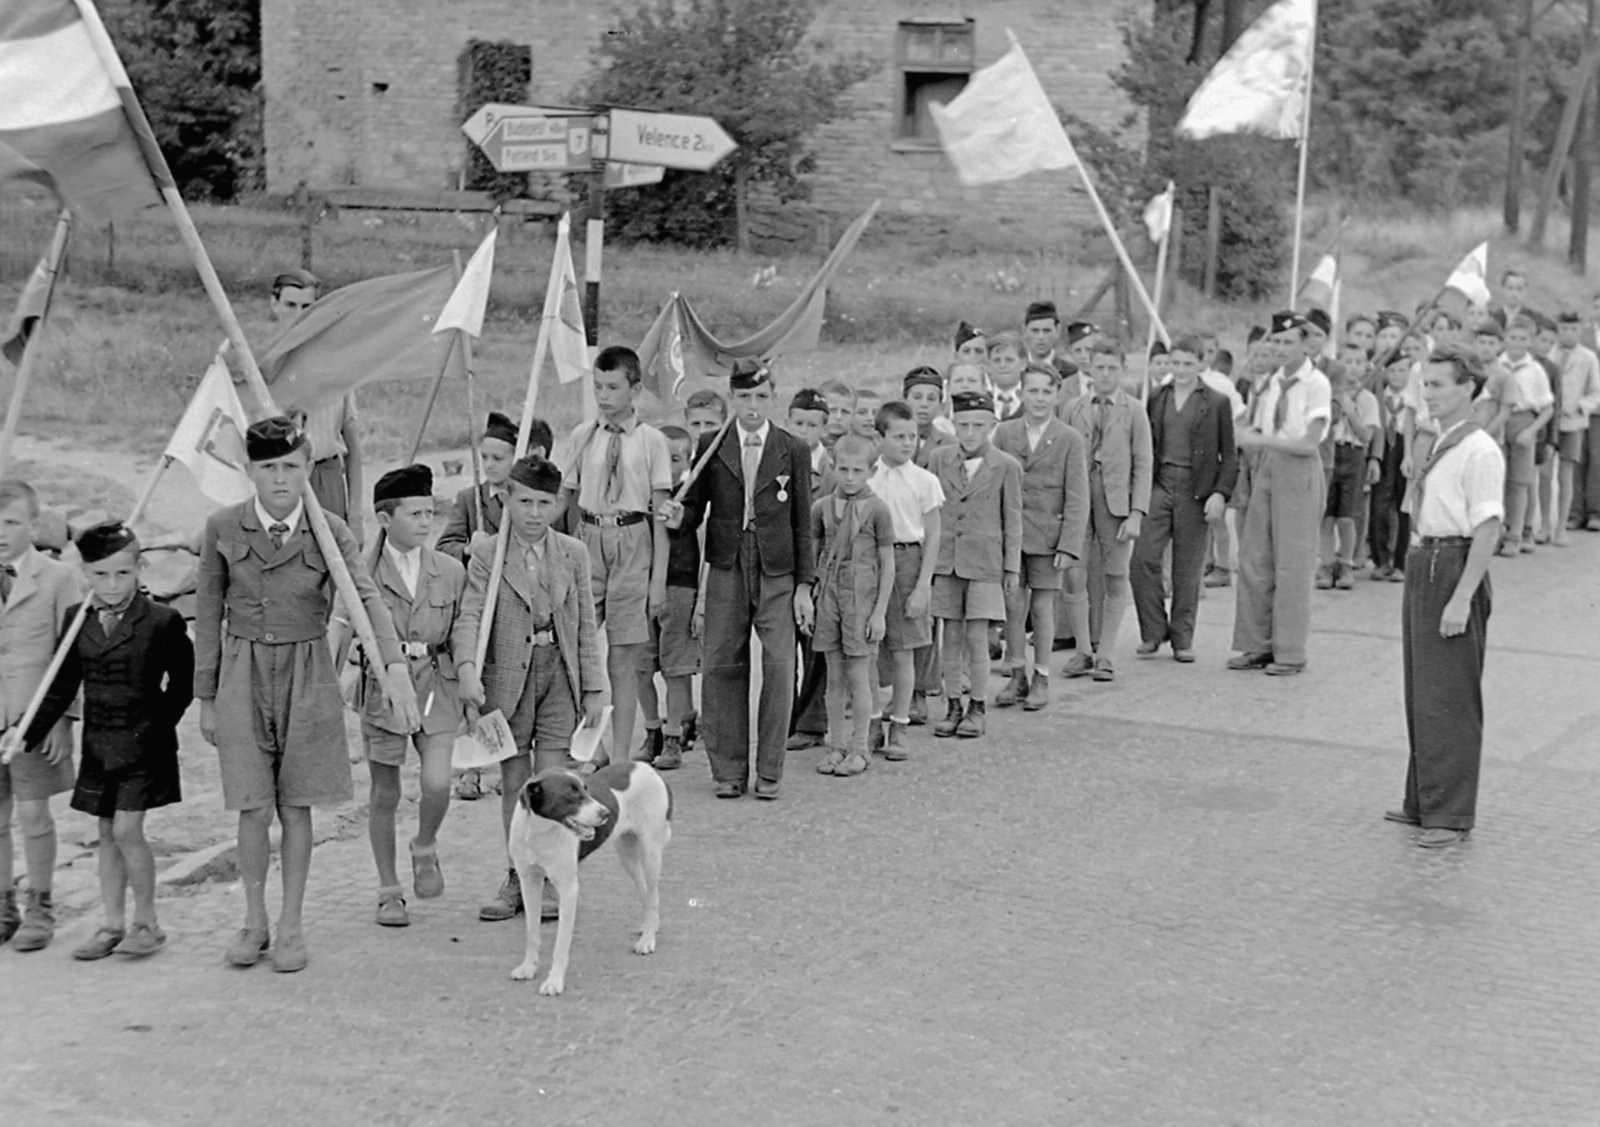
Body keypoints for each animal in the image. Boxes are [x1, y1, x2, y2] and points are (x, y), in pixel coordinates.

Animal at [505, 755, 668, 992]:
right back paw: (649, 926)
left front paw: (554, 981)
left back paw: (647, 940)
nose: (606, 813)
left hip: (651, 853)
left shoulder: (568, 889)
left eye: (585, 789)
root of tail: (645, 766)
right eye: (572, 793)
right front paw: (528, 968)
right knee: (647, 892)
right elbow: (532, 933)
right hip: (627, 855)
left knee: (654, 892)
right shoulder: (529, 882)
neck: (540, 832)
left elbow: (561, 945)